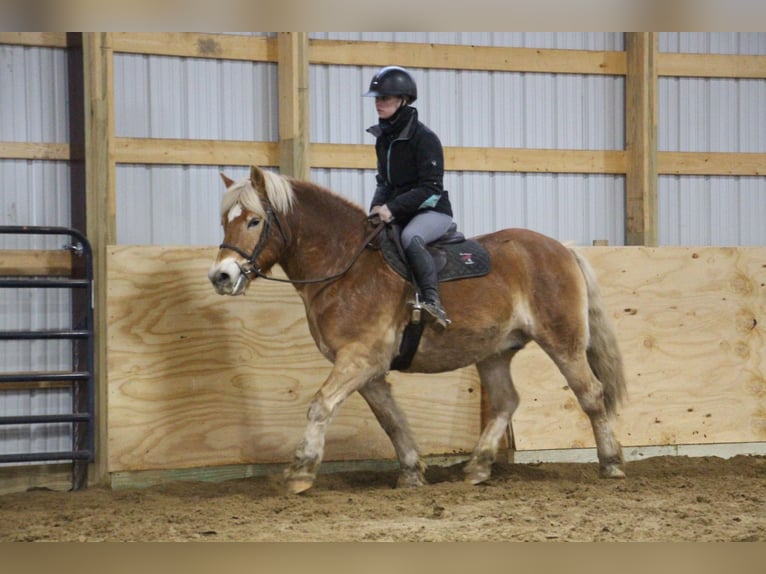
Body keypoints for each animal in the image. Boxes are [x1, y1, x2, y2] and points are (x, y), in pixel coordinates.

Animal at [207, 165, 628, 496]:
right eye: (225, 221)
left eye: (254, 221)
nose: (221, 276)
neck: (346, 266)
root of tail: (562, 249)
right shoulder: (367, 369)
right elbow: (391, 419)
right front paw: (411, 471)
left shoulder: (360, 358)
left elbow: (321, 405)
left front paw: (300, 471)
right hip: (494, 352)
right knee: (506, 401)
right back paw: (477, 467)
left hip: (563, 342)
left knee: (591, 394)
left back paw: (611, 463)